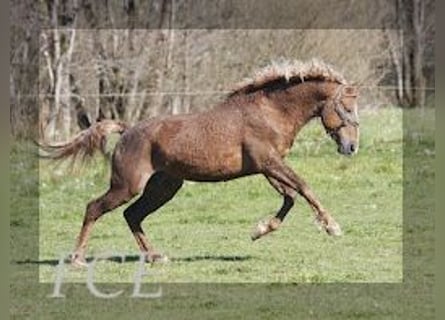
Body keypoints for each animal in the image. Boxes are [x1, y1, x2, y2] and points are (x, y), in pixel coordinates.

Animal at [40, 59, 360, 264]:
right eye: (346, 107)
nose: (351, 147)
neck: (270, 111)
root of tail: (127, 129)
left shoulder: (267, 167)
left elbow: (290, 196)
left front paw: (258, 231)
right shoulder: (269, 163)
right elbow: (304, 188)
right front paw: (332, 227)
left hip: (164, 187)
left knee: (132, 215)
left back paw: (155, 256)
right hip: (127, 186)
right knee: (94, 208)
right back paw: (77, 259)